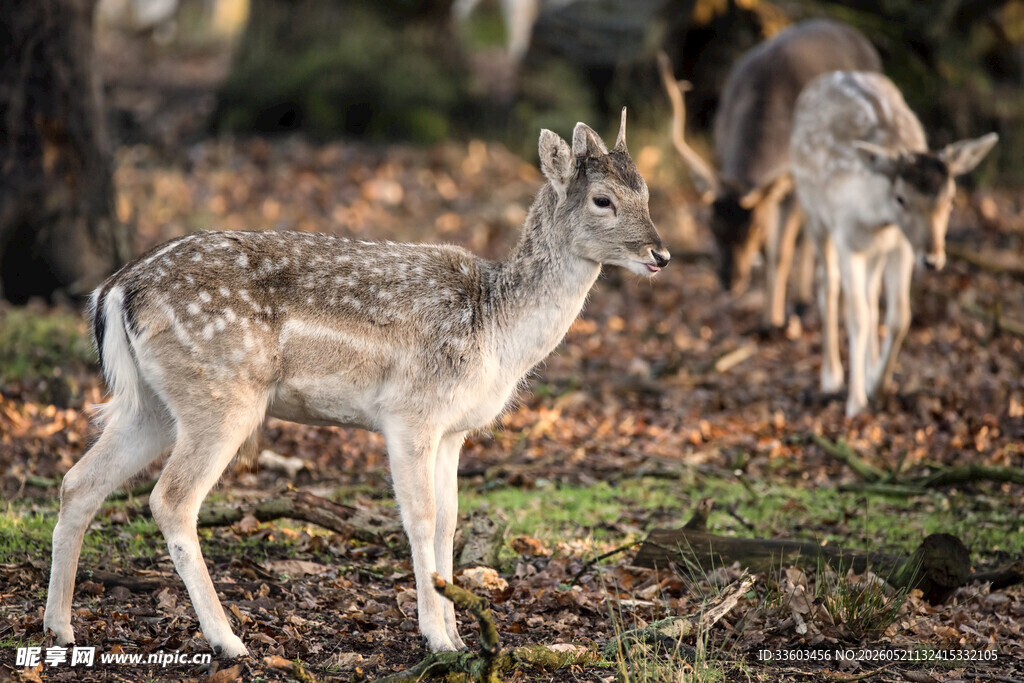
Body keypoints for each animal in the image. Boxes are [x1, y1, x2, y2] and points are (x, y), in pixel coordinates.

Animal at [43, 111, 669, 656]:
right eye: (603, 199)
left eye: (647, 193)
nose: (661, 253)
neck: (497, 329)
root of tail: (114, 291)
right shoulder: (410, 413)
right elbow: (419, 519)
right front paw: (436, 638)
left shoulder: (453, 430)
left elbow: (450, 522)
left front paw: (460, 633)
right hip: (221, 396)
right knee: (170, 499)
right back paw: (228, 641)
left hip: (151, 405)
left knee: (78, 482)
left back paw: (60, 627)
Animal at [658, 19, 881, 330]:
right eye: (711, 224)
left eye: (754, 228)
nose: (730, 279)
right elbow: (768, 252)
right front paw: (766, 317)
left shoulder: (794, 184)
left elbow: (779, 253)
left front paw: (774, 322)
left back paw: (805, 303)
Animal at [789, 71, 997, 418]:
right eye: (901, 198)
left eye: (951, 198)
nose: (932, 259)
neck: (877, 217)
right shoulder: (846, 238)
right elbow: (856, 314)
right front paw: (856, 403)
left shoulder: (900, 246)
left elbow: (900, 315)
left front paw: (879, 385)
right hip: (812, 212)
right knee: (827, 284)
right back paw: (831, 376)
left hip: (879, 251)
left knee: (873, 297)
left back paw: (870, 367)